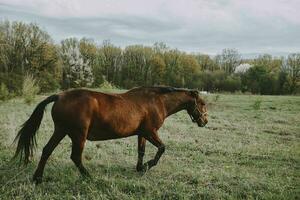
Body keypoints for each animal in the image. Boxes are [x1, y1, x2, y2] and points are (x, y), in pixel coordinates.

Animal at [12, 86, 207, 183]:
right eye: (203, 103)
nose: (205, 121)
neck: (156, 101)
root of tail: (59, 96)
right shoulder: (150, 131)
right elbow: (162, 148)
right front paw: (147, 166)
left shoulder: (142, 133)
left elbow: (141, 151)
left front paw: (140, 168)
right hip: (78, 135)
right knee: (75, 156)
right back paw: (89, 177)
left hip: (61, 130)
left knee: (47, 150)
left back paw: (38, 178)